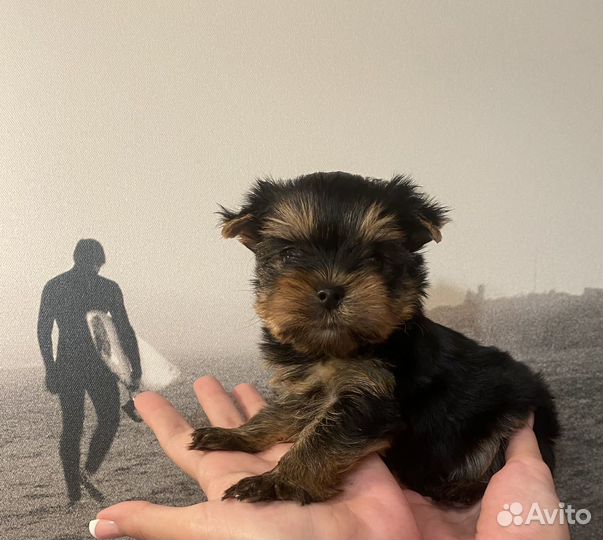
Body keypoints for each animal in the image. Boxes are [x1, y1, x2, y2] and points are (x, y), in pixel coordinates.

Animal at [190, 172, 560, 506]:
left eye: (375, 258)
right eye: (291, 254)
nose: (329, 292)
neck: (331, 351)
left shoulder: (371, 395)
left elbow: (322, 440)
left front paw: (278, 481)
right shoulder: (306, 387)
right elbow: (278, 414)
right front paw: (238, 435)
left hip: (512, 415)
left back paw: (457, 489)